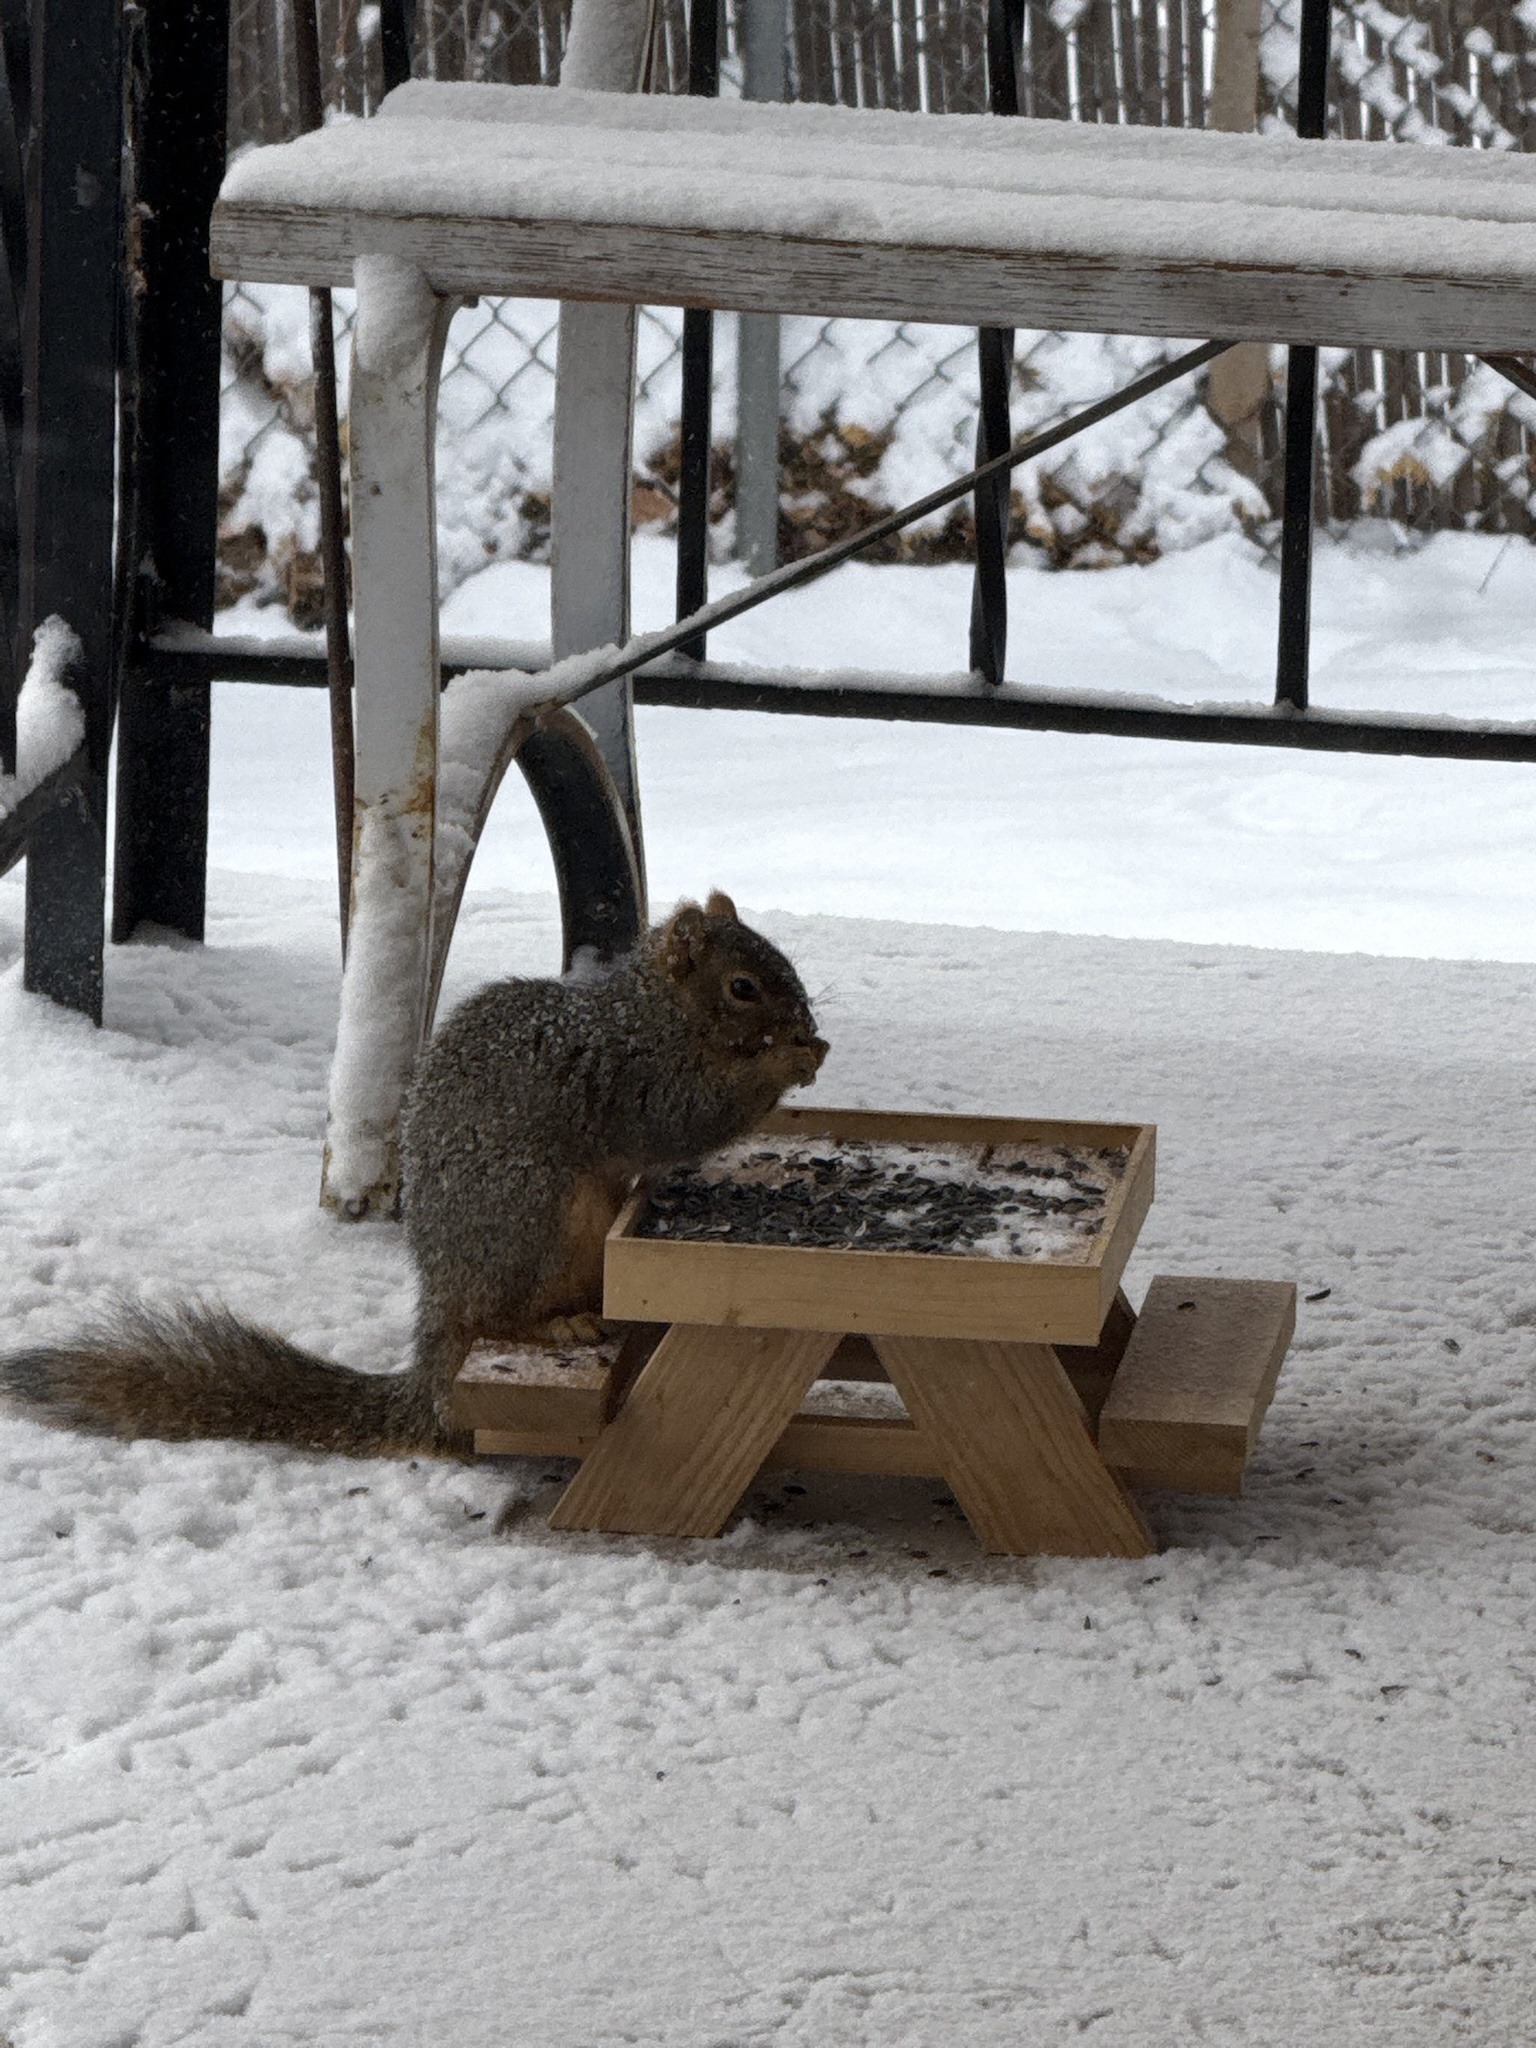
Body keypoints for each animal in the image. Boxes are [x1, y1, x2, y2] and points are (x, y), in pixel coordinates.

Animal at [0, 892, 831, 1458]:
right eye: (744, 986)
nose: (808, 1023)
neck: (653, 1013)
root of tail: (432, 1365)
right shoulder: (631, 1075)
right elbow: (688, 1116)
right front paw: (787, 1062)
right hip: (532, 1216)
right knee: (498, 1314)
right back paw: (553, 1322)